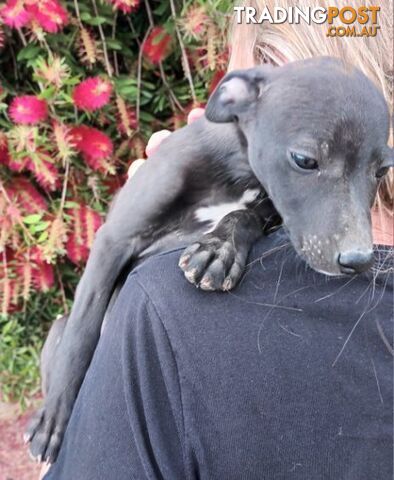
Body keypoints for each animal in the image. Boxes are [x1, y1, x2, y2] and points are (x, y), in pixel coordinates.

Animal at [26, 57, 392, 464]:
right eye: (304, 159)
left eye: (382, 170)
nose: (359, 259)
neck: (236, 172)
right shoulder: (112, 240)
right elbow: (82, 334)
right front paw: (54, 419)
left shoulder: (263, 209)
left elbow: (244, 217)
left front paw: (219, 250)